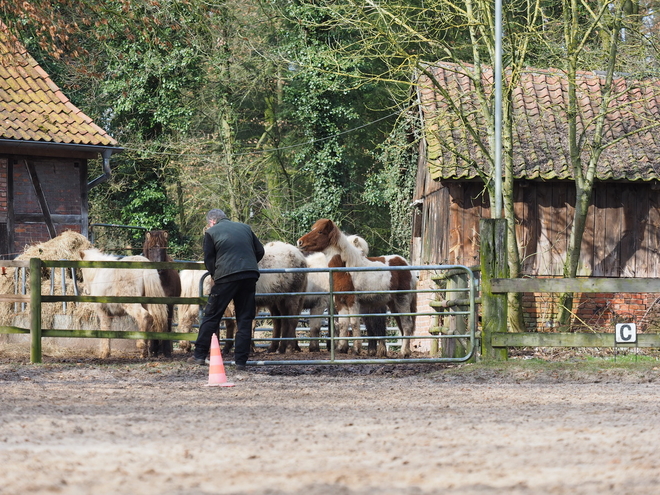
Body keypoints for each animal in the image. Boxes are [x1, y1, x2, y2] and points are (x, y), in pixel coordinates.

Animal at [296, 220, 416, 356]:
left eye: (320, 231)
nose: (300, 242)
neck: (346, 270)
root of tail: (405, 264)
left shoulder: (351, 301)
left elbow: (354, 323)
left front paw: (356, 349)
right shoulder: (340, 302)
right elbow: (343, 324)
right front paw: (341, 348)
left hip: (402, 300)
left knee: (406, 324)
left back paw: (404, 352)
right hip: (392, 304)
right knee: (401, 325)